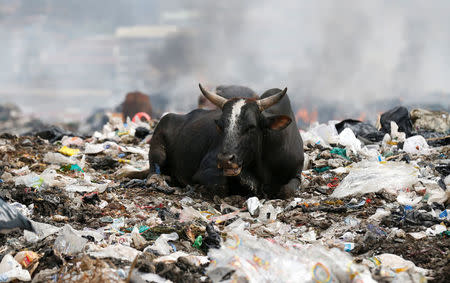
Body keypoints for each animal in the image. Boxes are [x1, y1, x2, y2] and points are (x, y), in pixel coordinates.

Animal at [149, 84, 304, 200]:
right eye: (220, 125)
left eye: (251, 127)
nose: (225, 160)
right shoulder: (205, 169)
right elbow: (221, 186)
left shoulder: (297, 173)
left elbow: (286, 190)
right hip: (158, 149)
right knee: (153, 171)